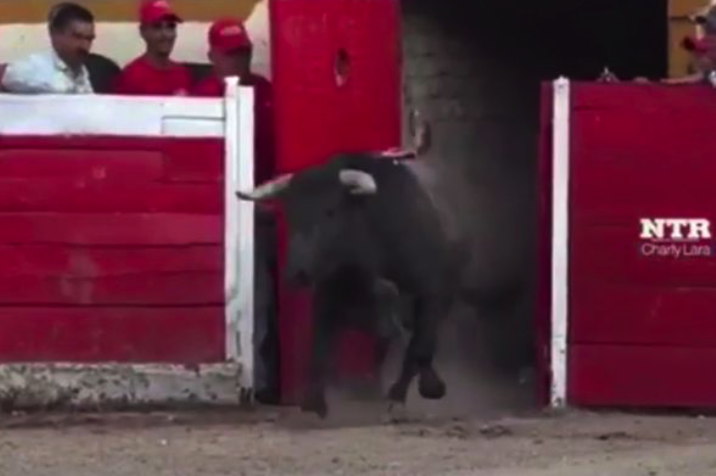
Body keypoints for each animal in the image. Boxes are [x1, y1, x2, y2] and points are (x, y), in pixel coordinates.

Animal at [236, 152, 470, 416]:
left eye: (330, 211)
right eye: (290, 213)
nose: (297, 273)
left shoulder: (432, 294)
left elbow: (418, 345)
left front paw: (402, 396)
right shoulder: (328, 296)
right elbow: (321, 347)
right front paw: (314, 401)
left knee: (420, 341)